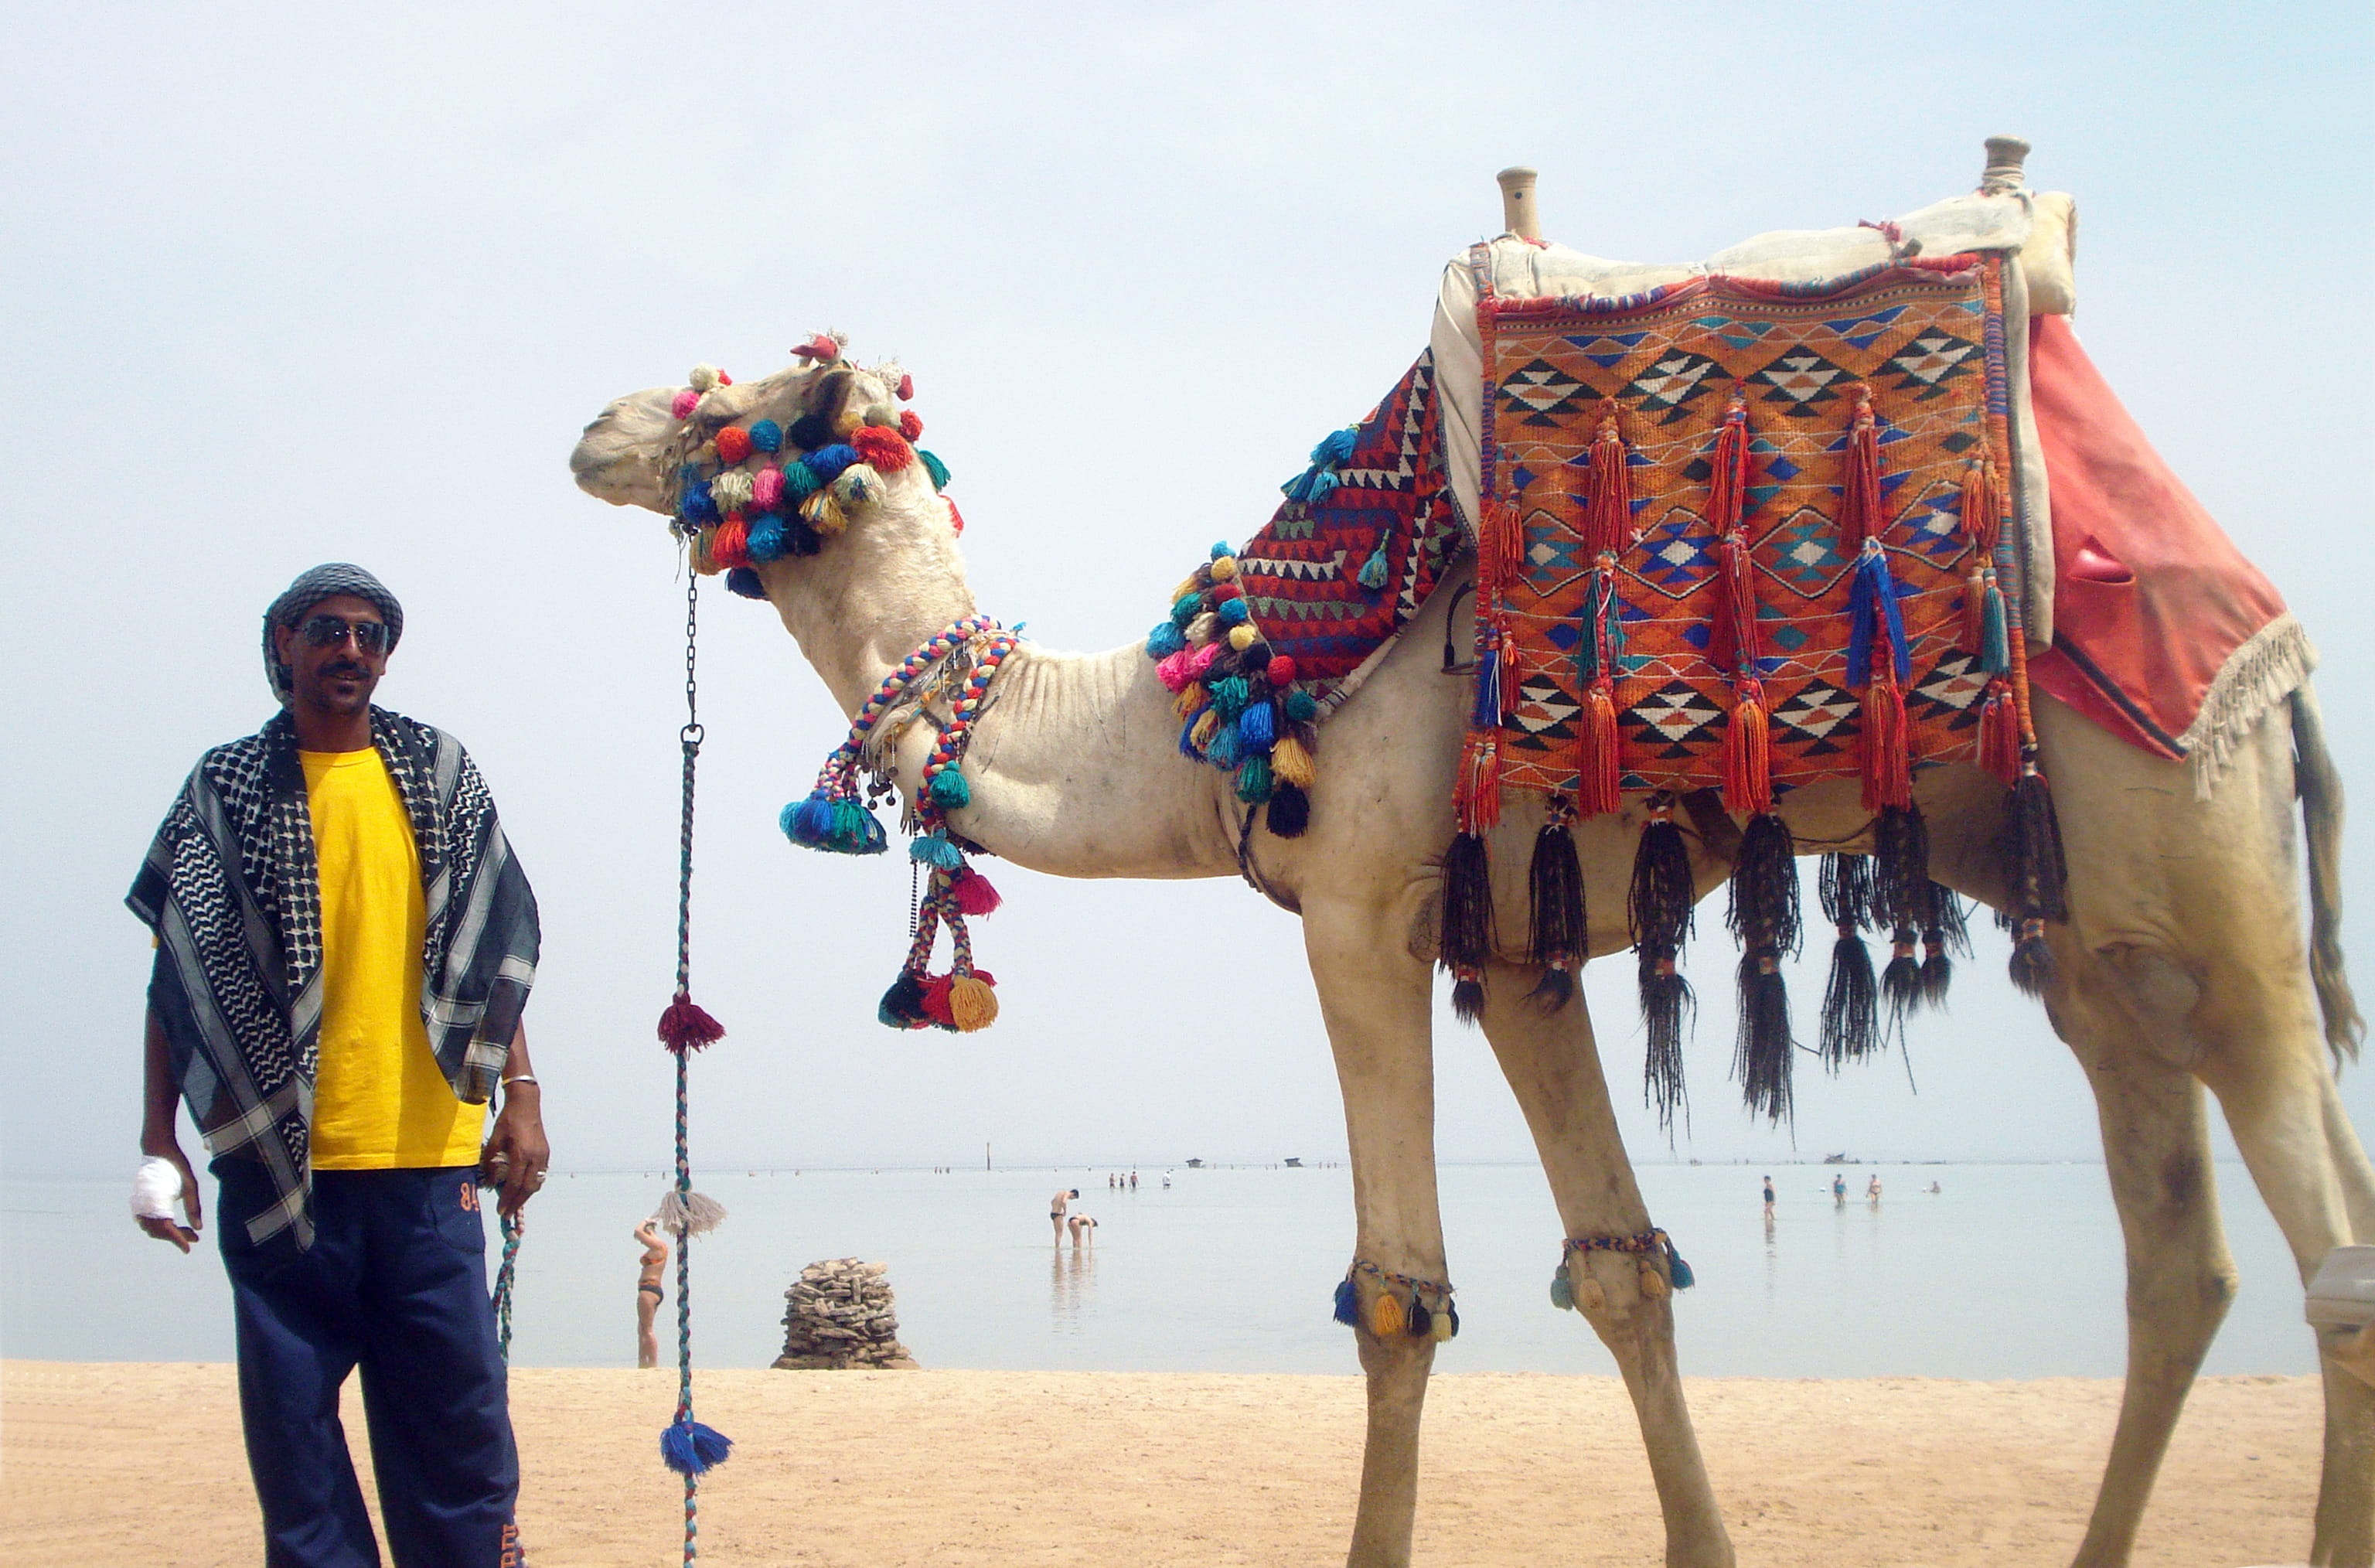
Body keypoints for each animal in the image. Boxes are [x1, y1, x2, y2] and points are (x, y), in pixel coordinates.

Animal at [571, 148, 2372, 1568]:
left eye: (733, 406)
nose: (594, 424)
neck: (1218, 709)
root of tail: (2269, 645)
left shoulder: (1362, 904)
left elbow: (1397, 1294)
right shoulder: (1513, 955)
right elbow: (1625, 1270)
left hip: (2198, 837)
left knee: (2333, 1253)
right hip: (2094, 933)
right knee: (2178, 1255)